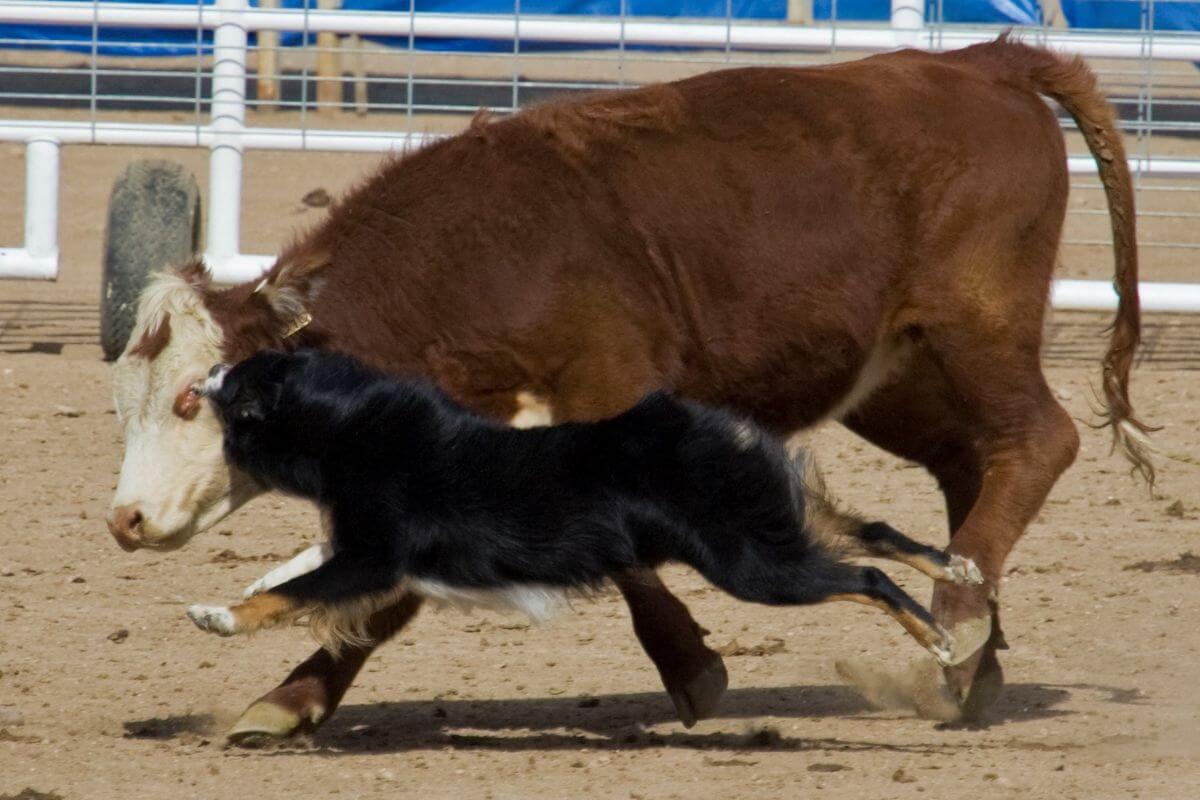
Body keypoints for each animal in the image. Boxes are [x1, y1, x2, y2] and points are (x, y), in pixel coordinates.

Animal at [184, 350, 974, 662]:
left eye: (239, 380)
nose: (207, 370)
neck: (344, 425)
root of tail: (715, 425)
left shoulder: (378, 557)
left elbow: (299, 589)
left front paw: (221, 615)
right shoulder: (365, 548)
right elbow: (295, 568)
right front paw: (245, 587)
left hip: (752, 565)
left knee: (864, 577)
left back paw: (940, 639)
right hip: (769, 525)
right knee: (867, 530)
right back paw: (957, 571)